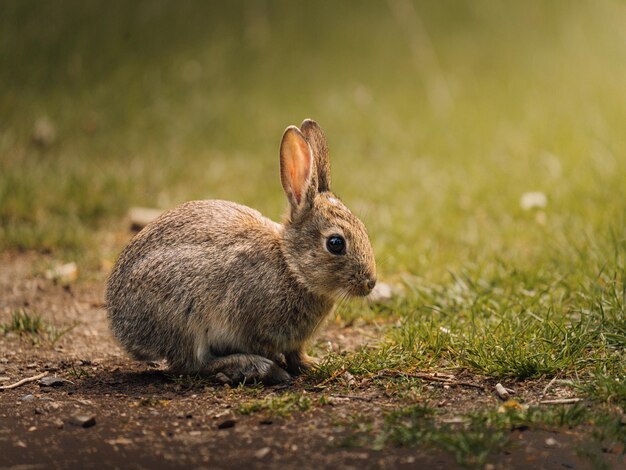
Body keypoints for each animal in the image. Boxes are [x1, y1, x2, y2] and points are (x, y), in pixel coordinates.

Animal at [105, 119, 376, 384]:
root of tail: (119, 323)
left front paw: (313, 364)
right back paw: (258, 368)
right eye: (336, 243)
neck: (291, 266)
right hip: (183, 318)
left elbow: (296, 354)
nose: (370, 282)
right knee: (192, 363)